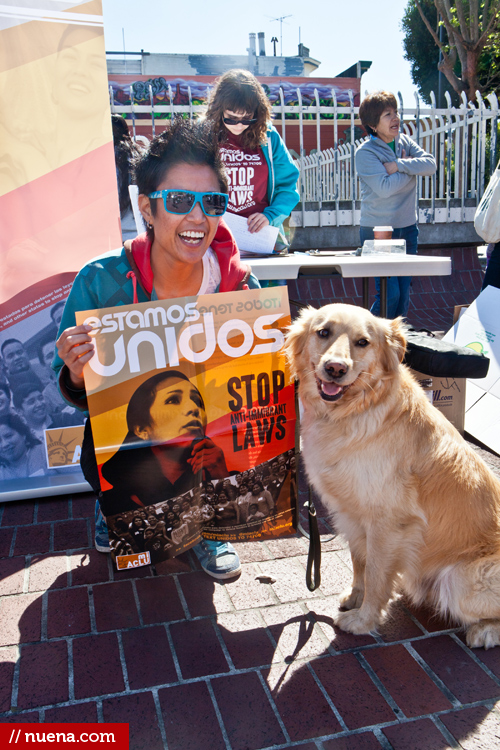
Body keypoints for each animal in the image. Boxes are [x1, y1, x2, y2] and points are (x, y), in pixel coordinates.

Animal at [284, 302, 500, 648]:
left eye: (363, 342)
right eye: (323, 332)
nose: (335, 369)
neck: (354, 411)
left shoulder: (388, 522)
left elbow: (375, 573)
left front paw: (363, 620)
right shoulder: (352, 515)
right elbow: (360, 562)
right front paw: (356, 598)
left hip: (461, 580)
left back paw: (484, 631)